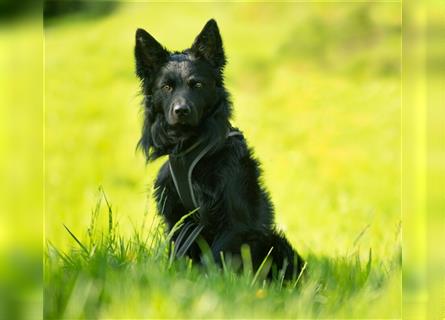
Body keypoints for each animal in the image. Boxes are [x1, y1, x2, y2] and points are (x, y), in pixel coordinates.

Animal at [134, 20, 304, 280]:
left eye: (197, 84)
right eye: (166, 87)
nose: (181, 111)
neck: (192, 148)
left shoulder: (235, 222)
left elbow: (215, 260)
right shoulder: (177, 219)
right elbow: (180, 256)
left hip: (274, 241)